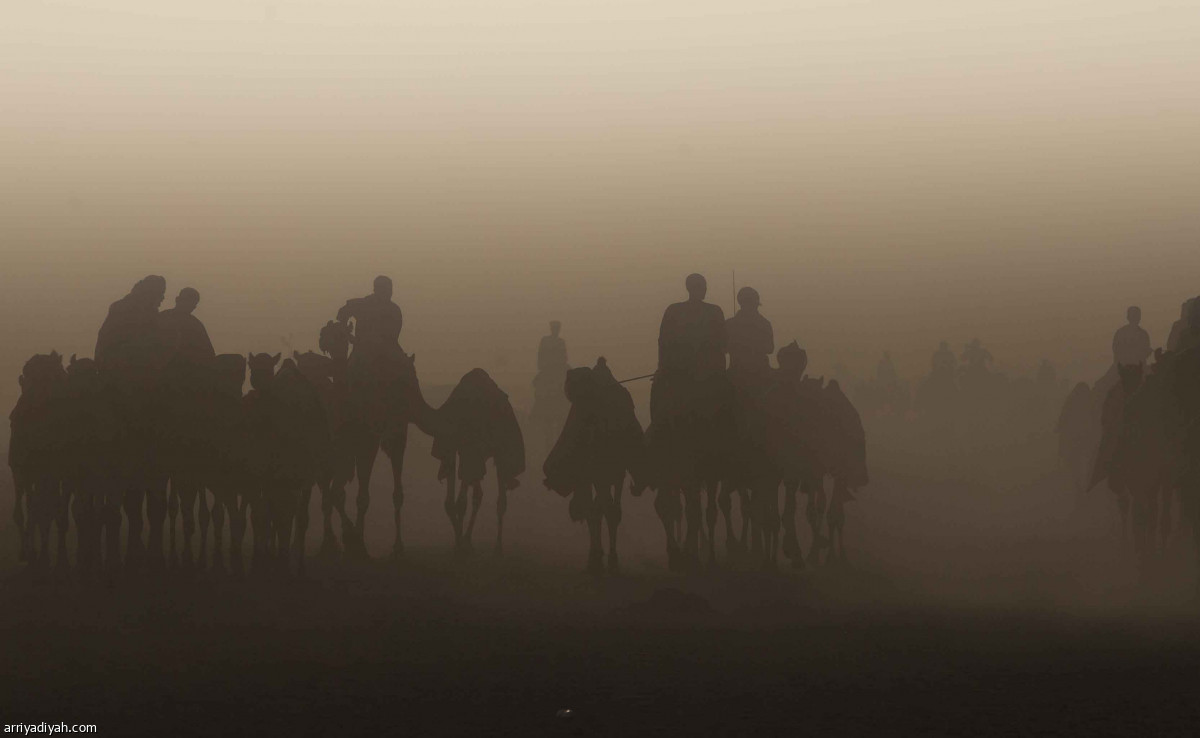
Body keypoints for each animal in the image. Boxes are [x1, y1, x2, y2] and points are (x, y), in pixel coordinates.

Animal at [544, 360, 643, 573]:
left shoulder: (610, 473)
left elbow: (605, 511)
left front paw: (605, 559)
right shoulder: (602, 474)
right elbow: (601, 511)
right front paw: (601, 558)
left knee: (598, 508)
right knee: (598, 508)